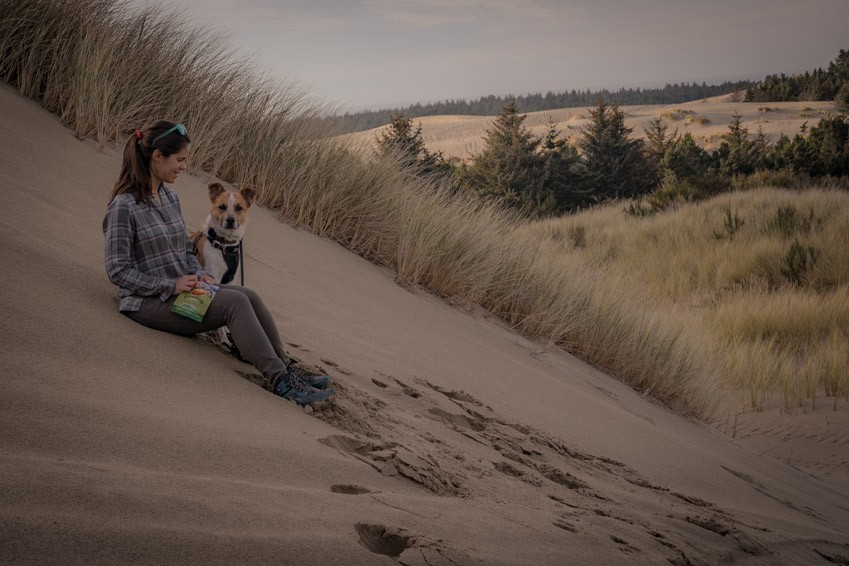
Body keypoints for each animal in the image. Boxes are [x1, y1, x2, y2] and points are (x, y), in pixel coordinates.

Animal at [191, 183, 255, 360]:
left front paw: (224, 335)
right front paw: (221, 336)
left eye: (239, 208)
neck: (226, 245)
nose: (230, 220)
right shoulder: (214, 278)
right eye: (222, 207)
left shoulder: (231, 280)